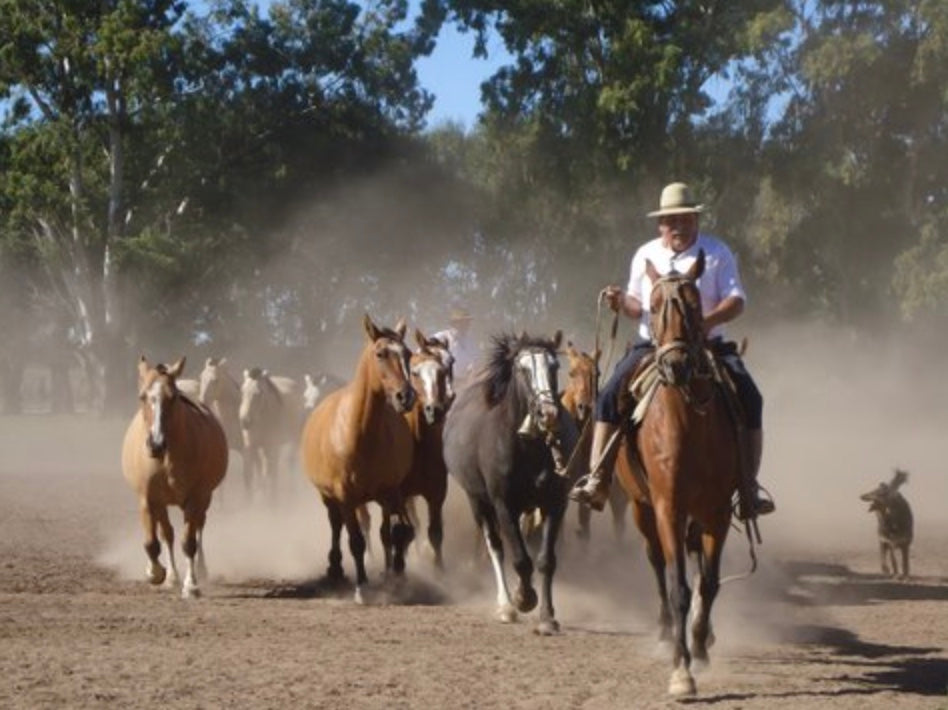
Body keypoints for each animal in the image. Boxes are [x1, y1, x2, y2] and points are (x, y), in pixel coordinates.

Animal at [120, 358, 228, 596]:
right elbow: (152, 542)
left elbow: (189, 542)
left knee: (199, 528)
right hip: (162, 505)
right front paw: (156, 573)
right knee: (167, 534)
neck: (167, 459)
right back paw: (171, 576)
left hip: (205, 499)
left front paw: (191, 585)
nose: (156, 444)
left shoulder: (196, 498)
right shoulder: (148, 499)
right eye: (142, 396)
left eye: (173, 397)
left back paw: (199, 570)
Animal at [241, 370, 304, 498]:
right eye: (243, 391)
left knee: (288, 464)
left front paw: (270, 499)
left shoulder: (271, 446)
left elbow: (268, 474)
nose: (245, 421)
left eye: (258, 393)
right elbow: (250, 474)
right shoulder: (251, 446)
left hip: (293, 440)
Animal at [302, 314, 416, 604]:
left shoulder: (392, 492)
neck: (360, 432)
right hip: (329, 497)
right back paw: (335, 568)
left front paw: (397, 576)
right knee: (336, 525)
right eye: (380, 353)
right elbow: (355, 541)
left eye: (408, 354)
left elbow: (397, 533)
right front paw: (362, 587)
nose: (406, 396)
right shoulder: (346, 497)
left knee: (384, 532)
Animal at [442, 330, 580, 636]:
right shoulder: (502, 503)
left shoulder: (555, 504)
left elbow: (545, 560)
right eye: (523, 369)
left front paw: (547, 617)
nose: (548, 414)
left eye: (554, 366)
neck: (528, 448)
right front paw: (524, 599)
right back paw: (506, 605)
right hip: (477, 500)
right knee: (496, 545)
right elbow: (519, 558)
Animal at [624, 252, 748, 700]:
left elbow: (707, 583)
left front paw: (700, 646)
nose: (676, 365)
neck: (687, 423)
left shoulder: (715, 512)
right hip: (641, 507)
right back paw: (664, 632)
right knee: (657, 562)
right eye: (653, 304)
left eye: (694, 305)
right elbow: (678, 586)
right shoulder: (668, 508)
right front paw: (681, 670)